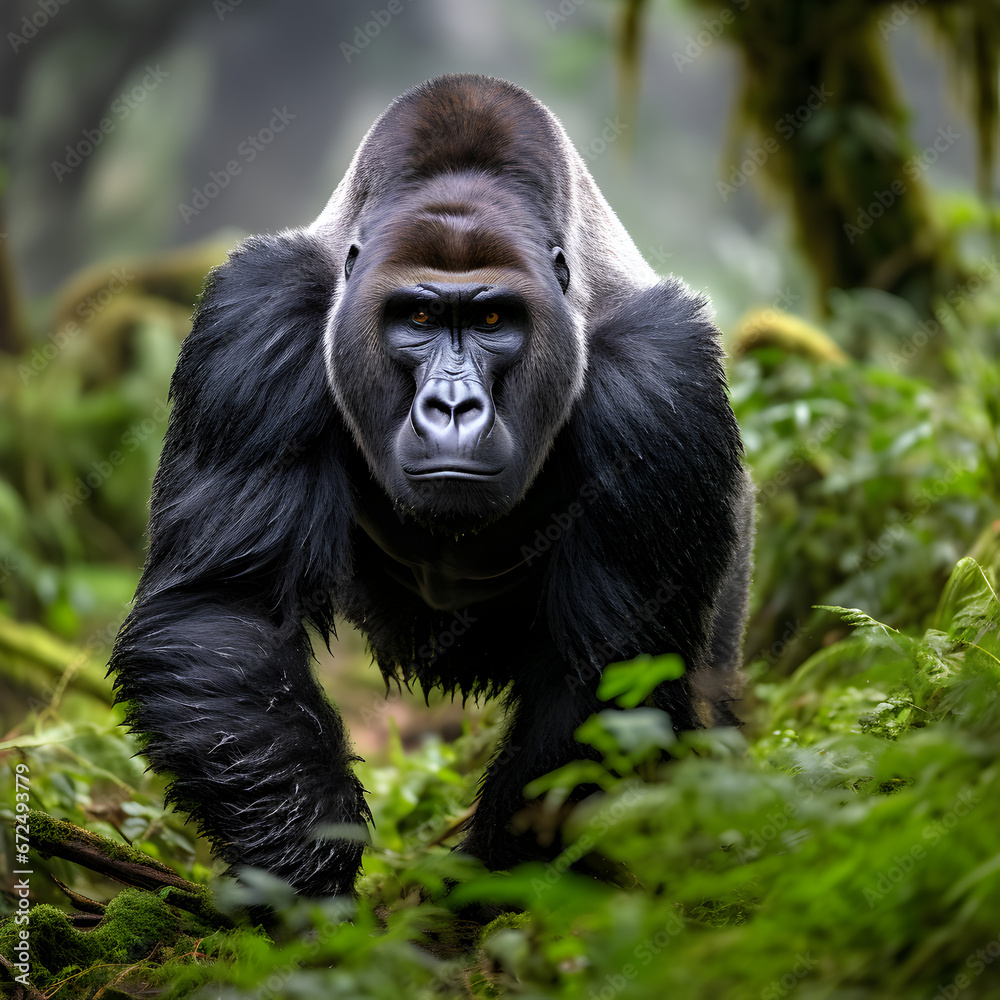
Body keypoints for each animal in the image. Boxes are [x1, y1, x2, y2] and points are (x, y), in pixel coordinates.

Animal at [109, 72, 752, 900]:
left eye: (493, 319)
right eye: (416, 315)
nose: (452, 407)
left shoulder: (661, 376)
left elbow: (611, 673)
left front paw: (499, 886)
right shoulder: (256, 318)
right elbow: (225, 609)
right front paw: (303, 871)